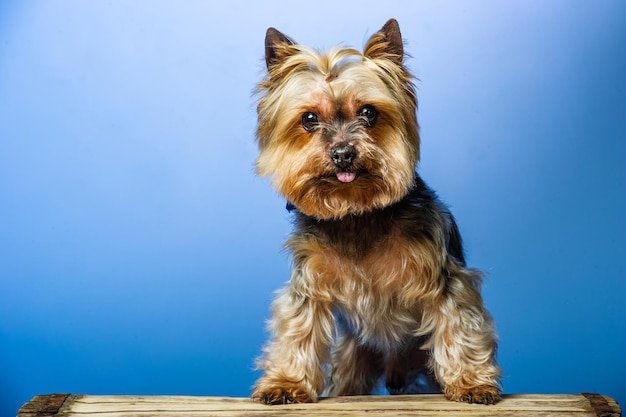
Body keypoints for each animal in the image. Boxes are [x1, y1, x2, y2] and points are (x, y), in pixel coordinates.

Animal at [251, 18, 500, 404]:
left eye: (369, 112)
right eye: (309, 119)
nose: (343, 153)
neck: (357, 213)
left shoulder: (445, 279)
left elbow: (457, 323)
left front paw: (471, 382)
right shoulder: (308, 284)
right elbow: (299, 328)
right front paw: (287, 383)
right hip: (353, 359)